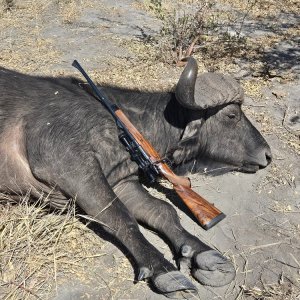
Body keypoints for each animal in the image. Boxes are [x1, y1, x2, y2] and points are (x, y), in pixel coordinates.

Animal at [0, 58, 272, 298]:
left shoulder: (121, 182)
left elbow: (162, 210)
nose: (268, 154)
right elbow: (120, 216)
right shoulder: (71, 167)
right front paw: (164, 270)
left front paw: (202, 253)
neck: (112, 122)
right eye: (232, 116)